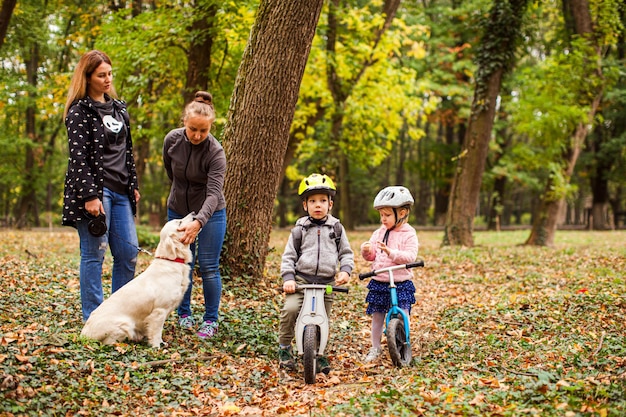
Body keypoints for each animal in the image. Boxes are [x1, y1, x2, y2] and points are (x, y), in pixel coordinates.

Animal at [81, 213, 193, 346]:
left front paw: (162, 343)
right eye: (179, 222)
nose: (193, 214)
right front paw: (157, 347)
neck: (172, 261)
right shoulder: (159, 312)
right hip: (125, 325)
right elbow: (156, 332)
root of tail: (84, 333)